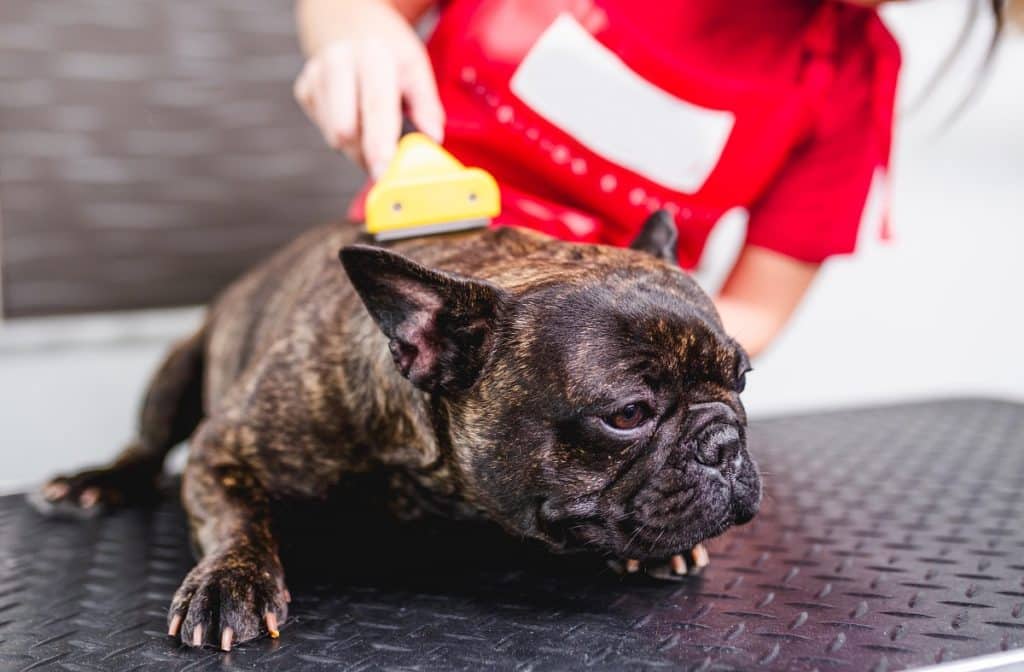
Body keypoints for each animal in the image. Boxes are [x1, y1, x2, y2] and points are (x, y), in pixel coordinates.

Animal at [34, 211, 761, 651]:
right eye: (627, 414)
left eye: (744, 378)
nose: (723, 445)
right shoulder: (224, 448)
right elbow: (236, 516)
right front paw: (228, 583)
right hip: (179, 367)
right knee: (149, 443)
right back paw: (98, 480)